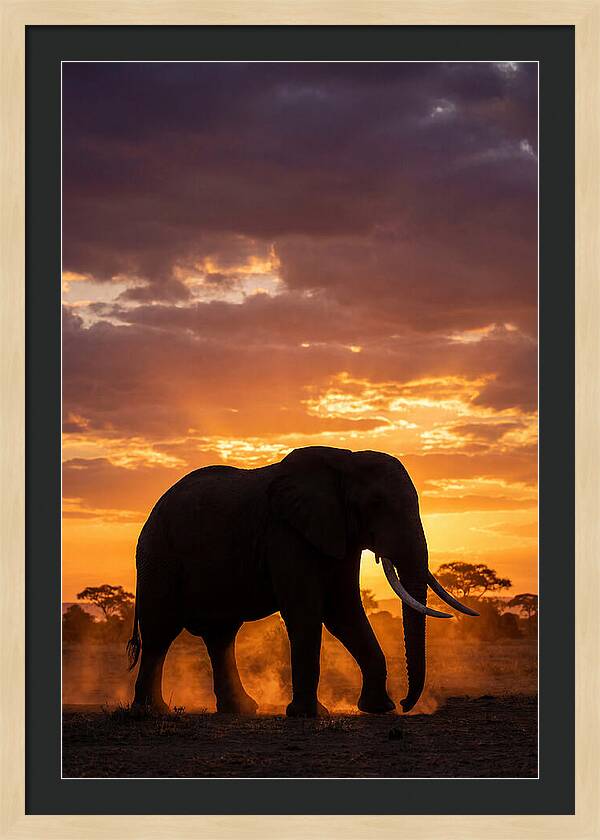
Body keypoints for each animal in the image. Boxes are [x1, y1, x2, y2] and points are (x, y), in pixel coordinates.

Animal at [127, 445, 477, 717]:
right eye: (376, 505)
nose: (406, 703)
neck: (345, 460)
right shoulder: (285, 532)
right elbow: (308, 612)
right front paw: (308, 714)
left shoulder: (338, 533)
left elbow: (344, 611)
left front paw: (379, 709)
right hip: (159, 556)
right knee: (160, 633)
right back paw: (151, 712)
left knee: (220, 636)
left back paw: (241, 709)